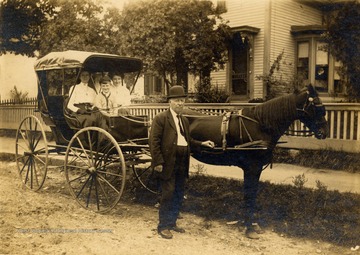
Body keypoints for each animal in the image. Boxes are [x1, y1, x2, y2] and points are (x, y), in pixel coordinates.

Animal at [184, 84, 328, 238]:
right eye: (317, 107)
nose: (324, 132)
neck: (261, 125)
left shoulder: (256, 168)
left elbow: (251, 194)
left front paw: (249, 223)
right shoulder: (252, 167)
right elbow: (250, 194)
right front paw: (249, 227)